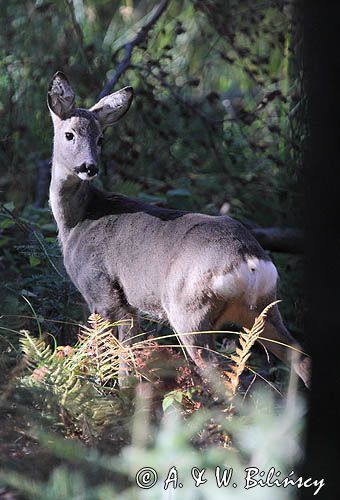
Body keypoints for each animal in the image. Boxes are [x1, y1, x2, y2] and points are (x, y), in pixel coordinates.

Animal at [47, 72, 310, 388]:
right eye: (69, 134)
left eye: (100, 138)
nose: (89, 167)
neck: (79, 220)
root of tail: (249, 261)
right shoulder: (126, 303)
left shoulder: (102, 292)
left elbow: (112, 358)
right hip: (264, 309)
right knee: (300, 356)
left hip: (189, 310)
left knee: (216, 370)